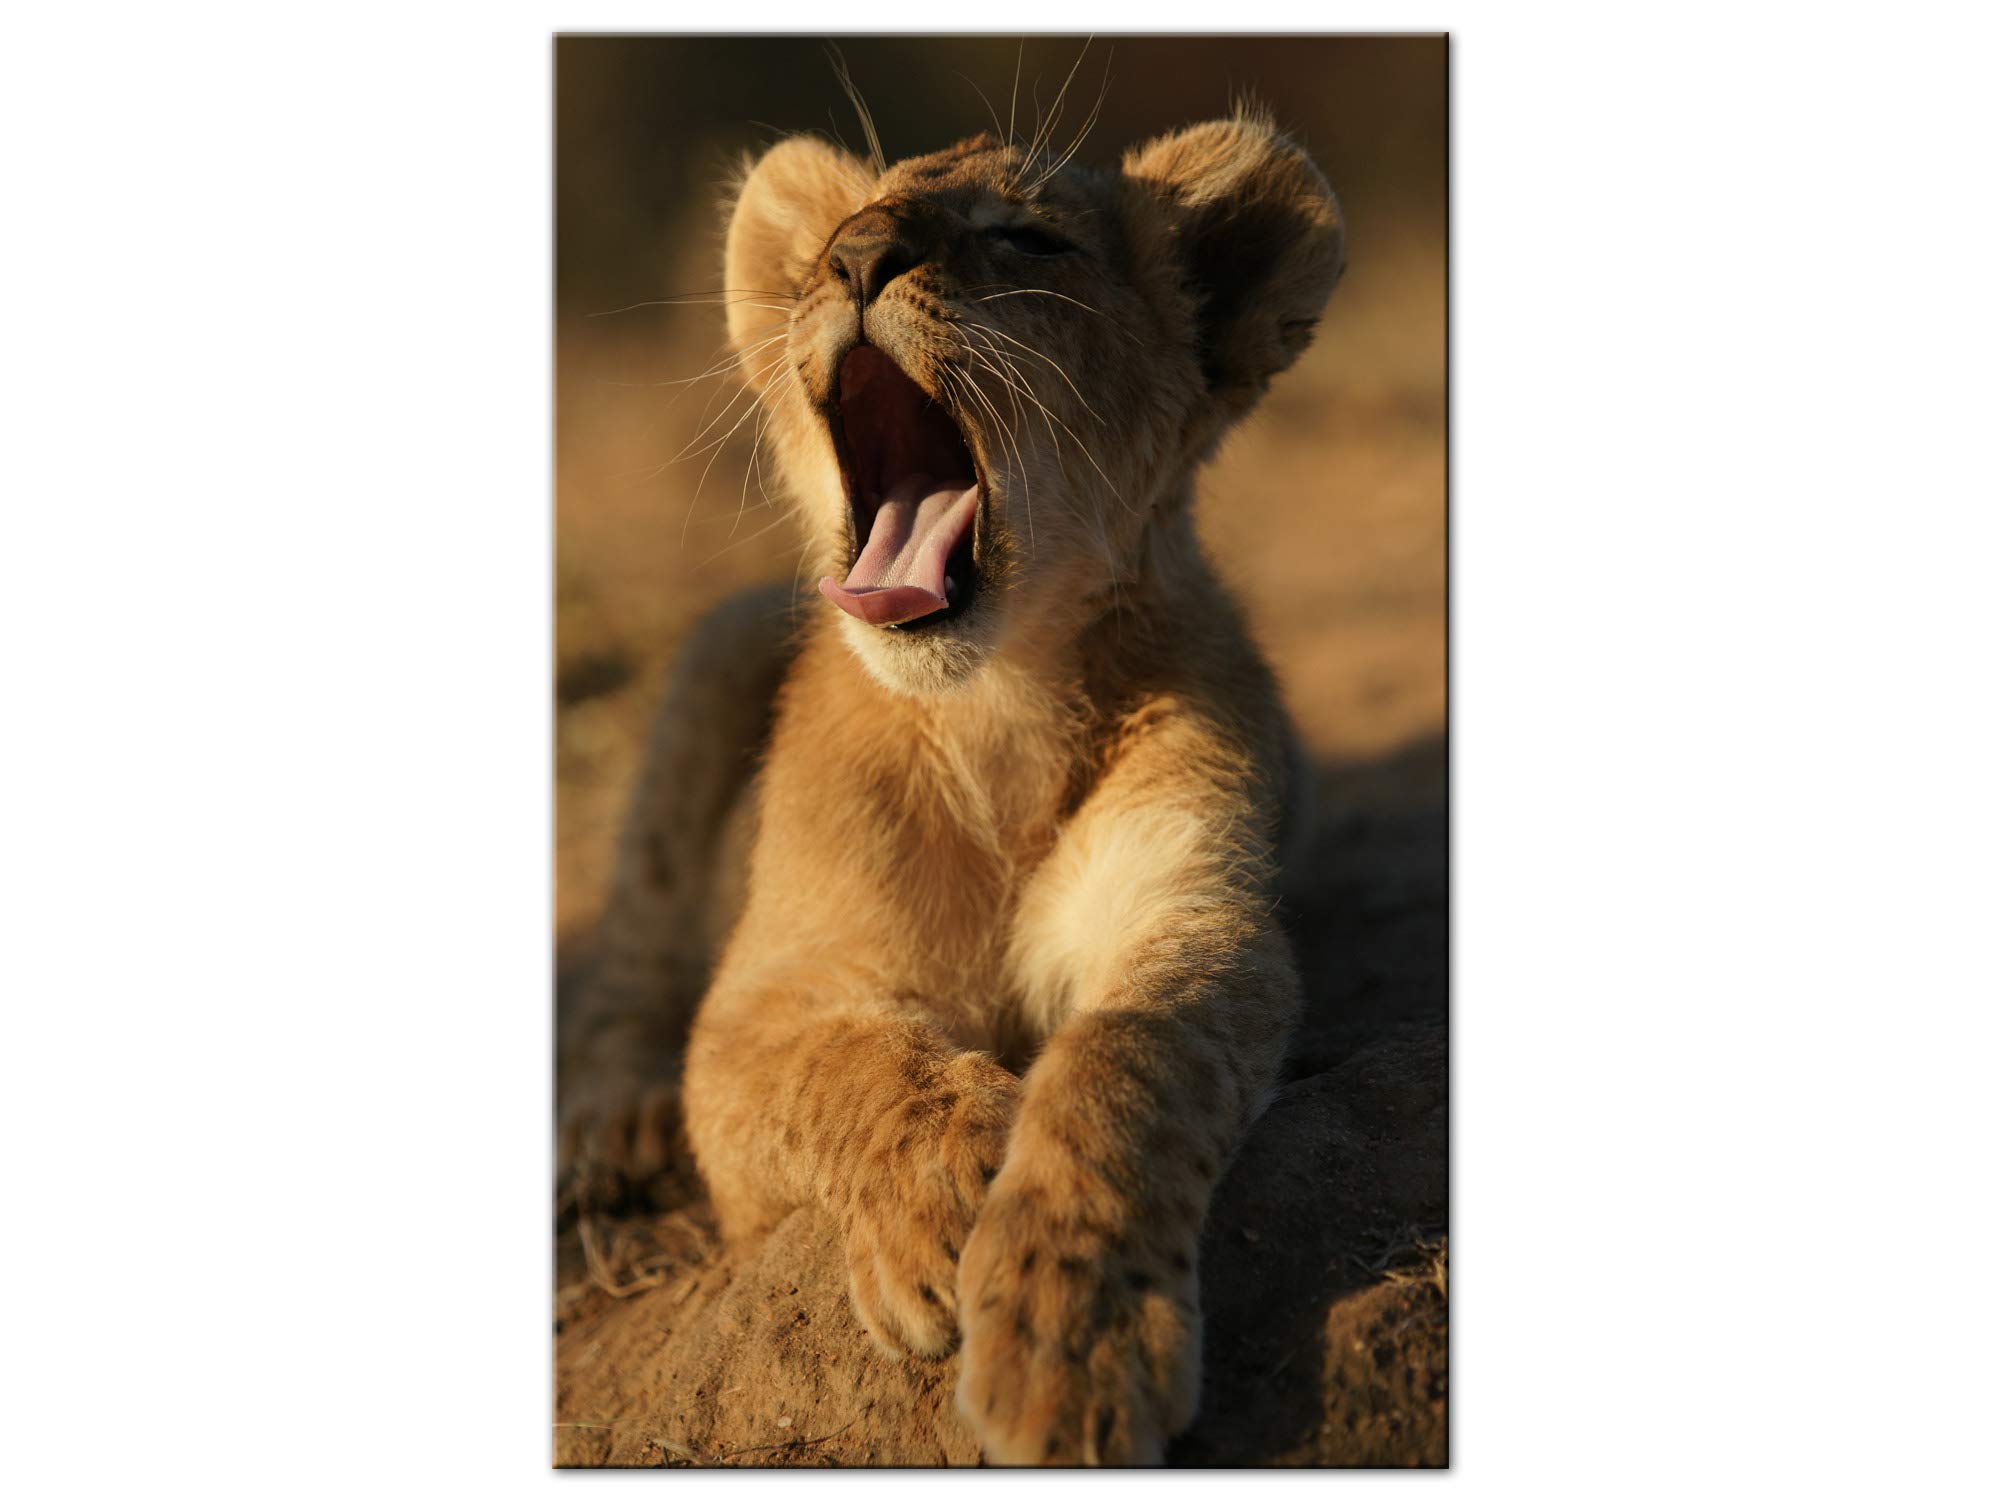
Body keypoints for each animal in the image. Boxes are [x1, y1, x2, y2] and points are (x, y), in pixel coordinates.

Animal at [558, 107, 1345, 1466]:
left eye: (1026, 238)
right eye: (831, 234)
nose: (855, 258)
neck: (996, 715)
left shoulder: (1190, 915)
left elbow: (1121, 1071)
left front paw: (1069, 1350)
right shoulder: (760, 1000)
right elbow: (852, 1069)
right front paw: (940, 1208)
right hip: (715, 653)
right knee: (631, 961)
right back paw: (616, 1128)